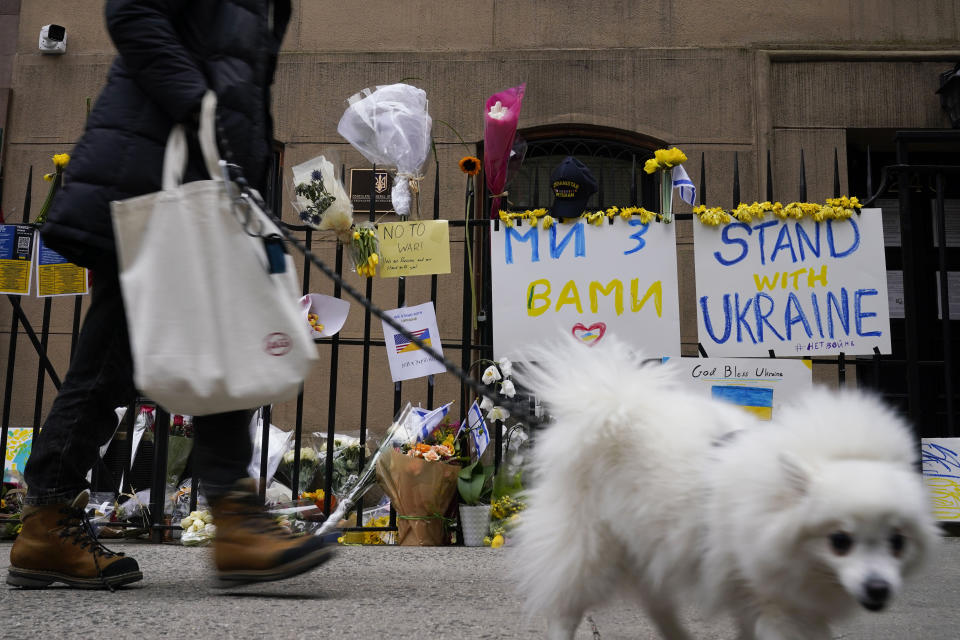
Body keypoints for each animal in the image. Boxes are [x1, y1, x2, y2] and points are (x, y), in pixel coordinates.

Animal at [512, 338, 940, 636]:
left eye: (897, 542)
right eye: (840, 541)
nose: (878, 589)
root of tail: (611, 409)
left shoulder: (756, 596)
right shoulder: (774, 603)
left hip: (653, 542)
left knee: (657, 603)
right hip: (593, 547)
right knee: (567, 610)